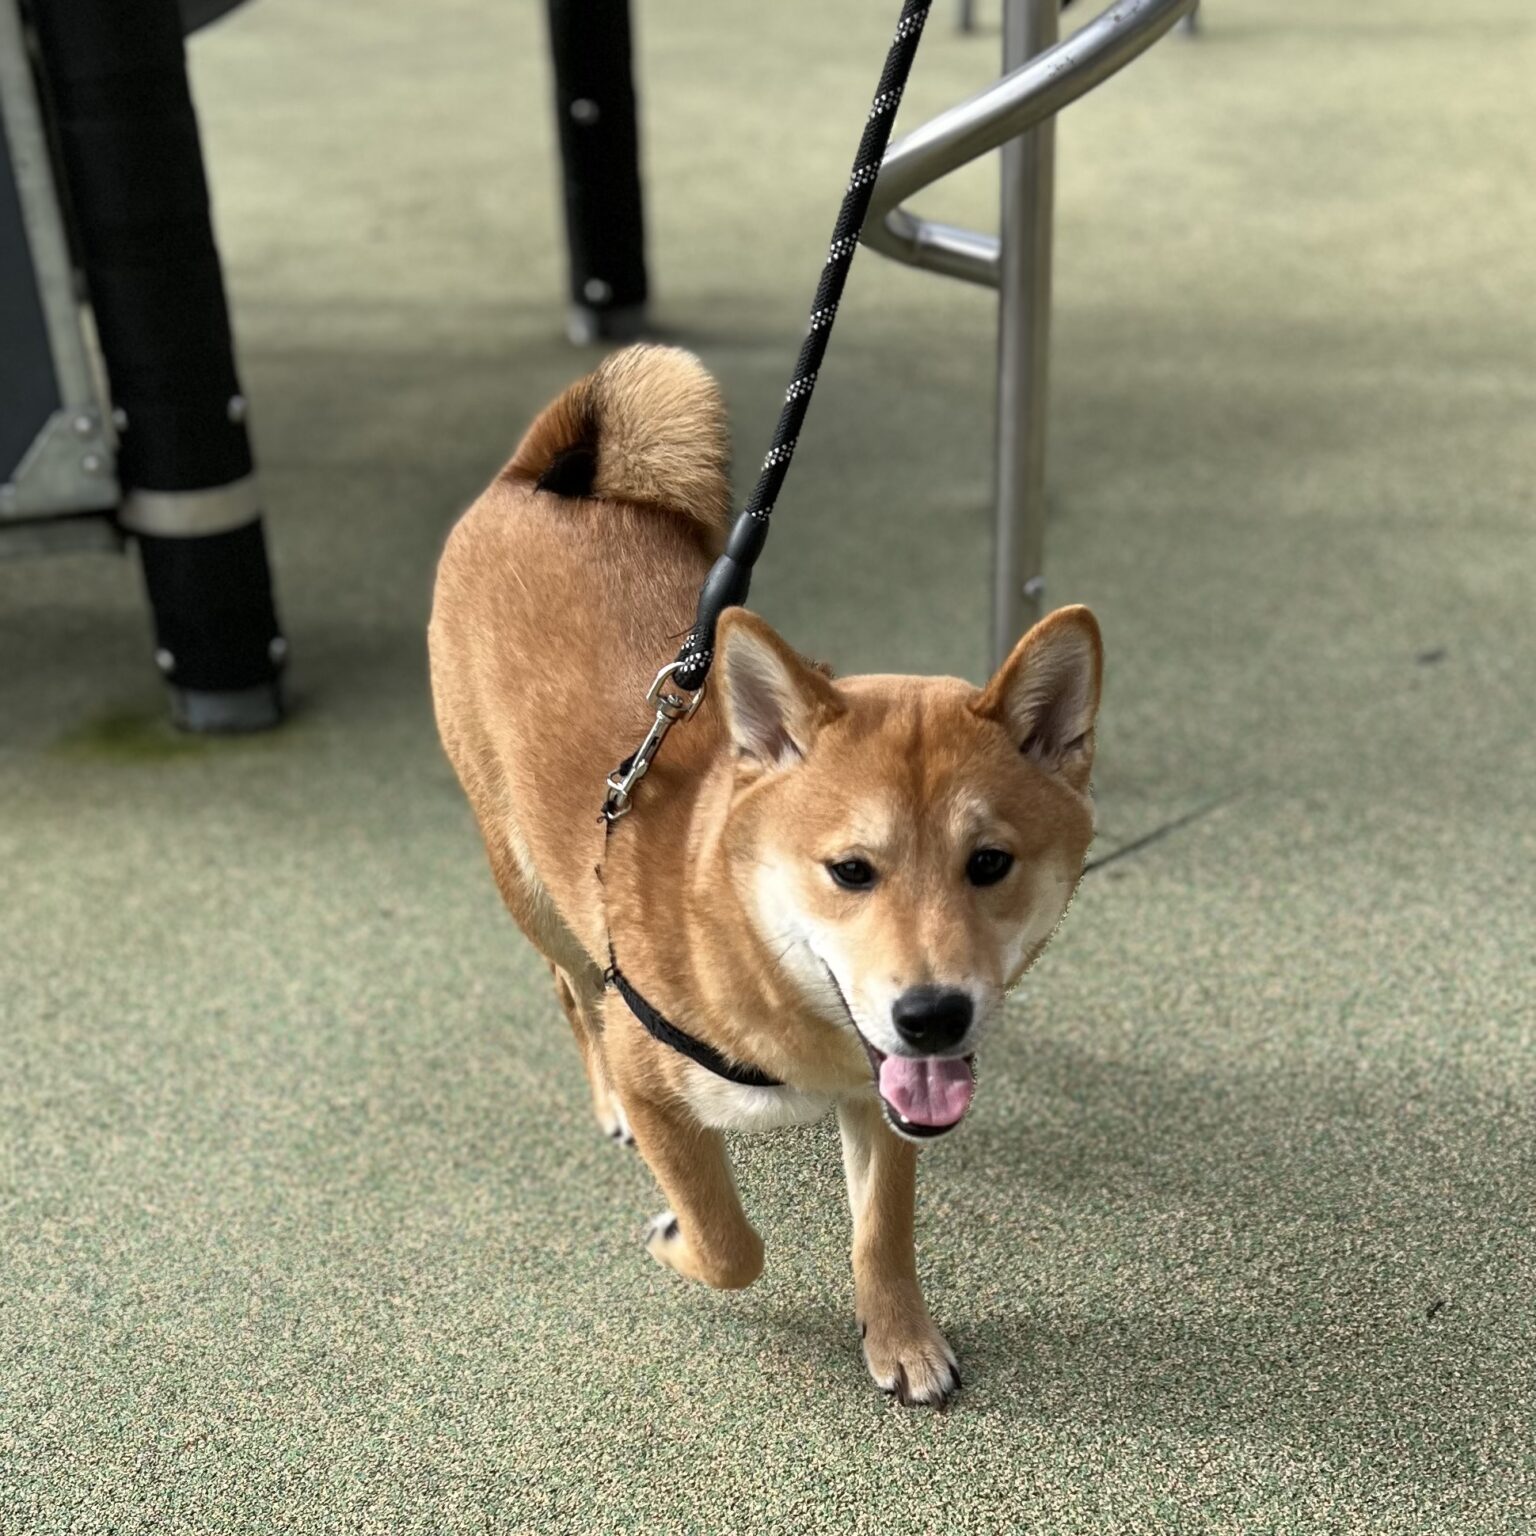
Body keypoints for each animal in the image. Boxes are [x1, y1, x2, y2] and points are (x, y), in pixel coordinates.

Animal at [430, 345, 1105, 1406]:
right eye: (851, 870)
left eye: (990, 863)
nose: (934, 1015)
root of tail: (534, 482)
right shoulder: (666, 1083)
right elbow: (728, 1243)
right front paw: (674, 1235)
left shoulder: (887, 1092)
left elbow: (883, 1233)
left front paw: (900, 1336)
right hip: (526, 882)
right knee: (575, 992)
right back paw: (603, 1095)